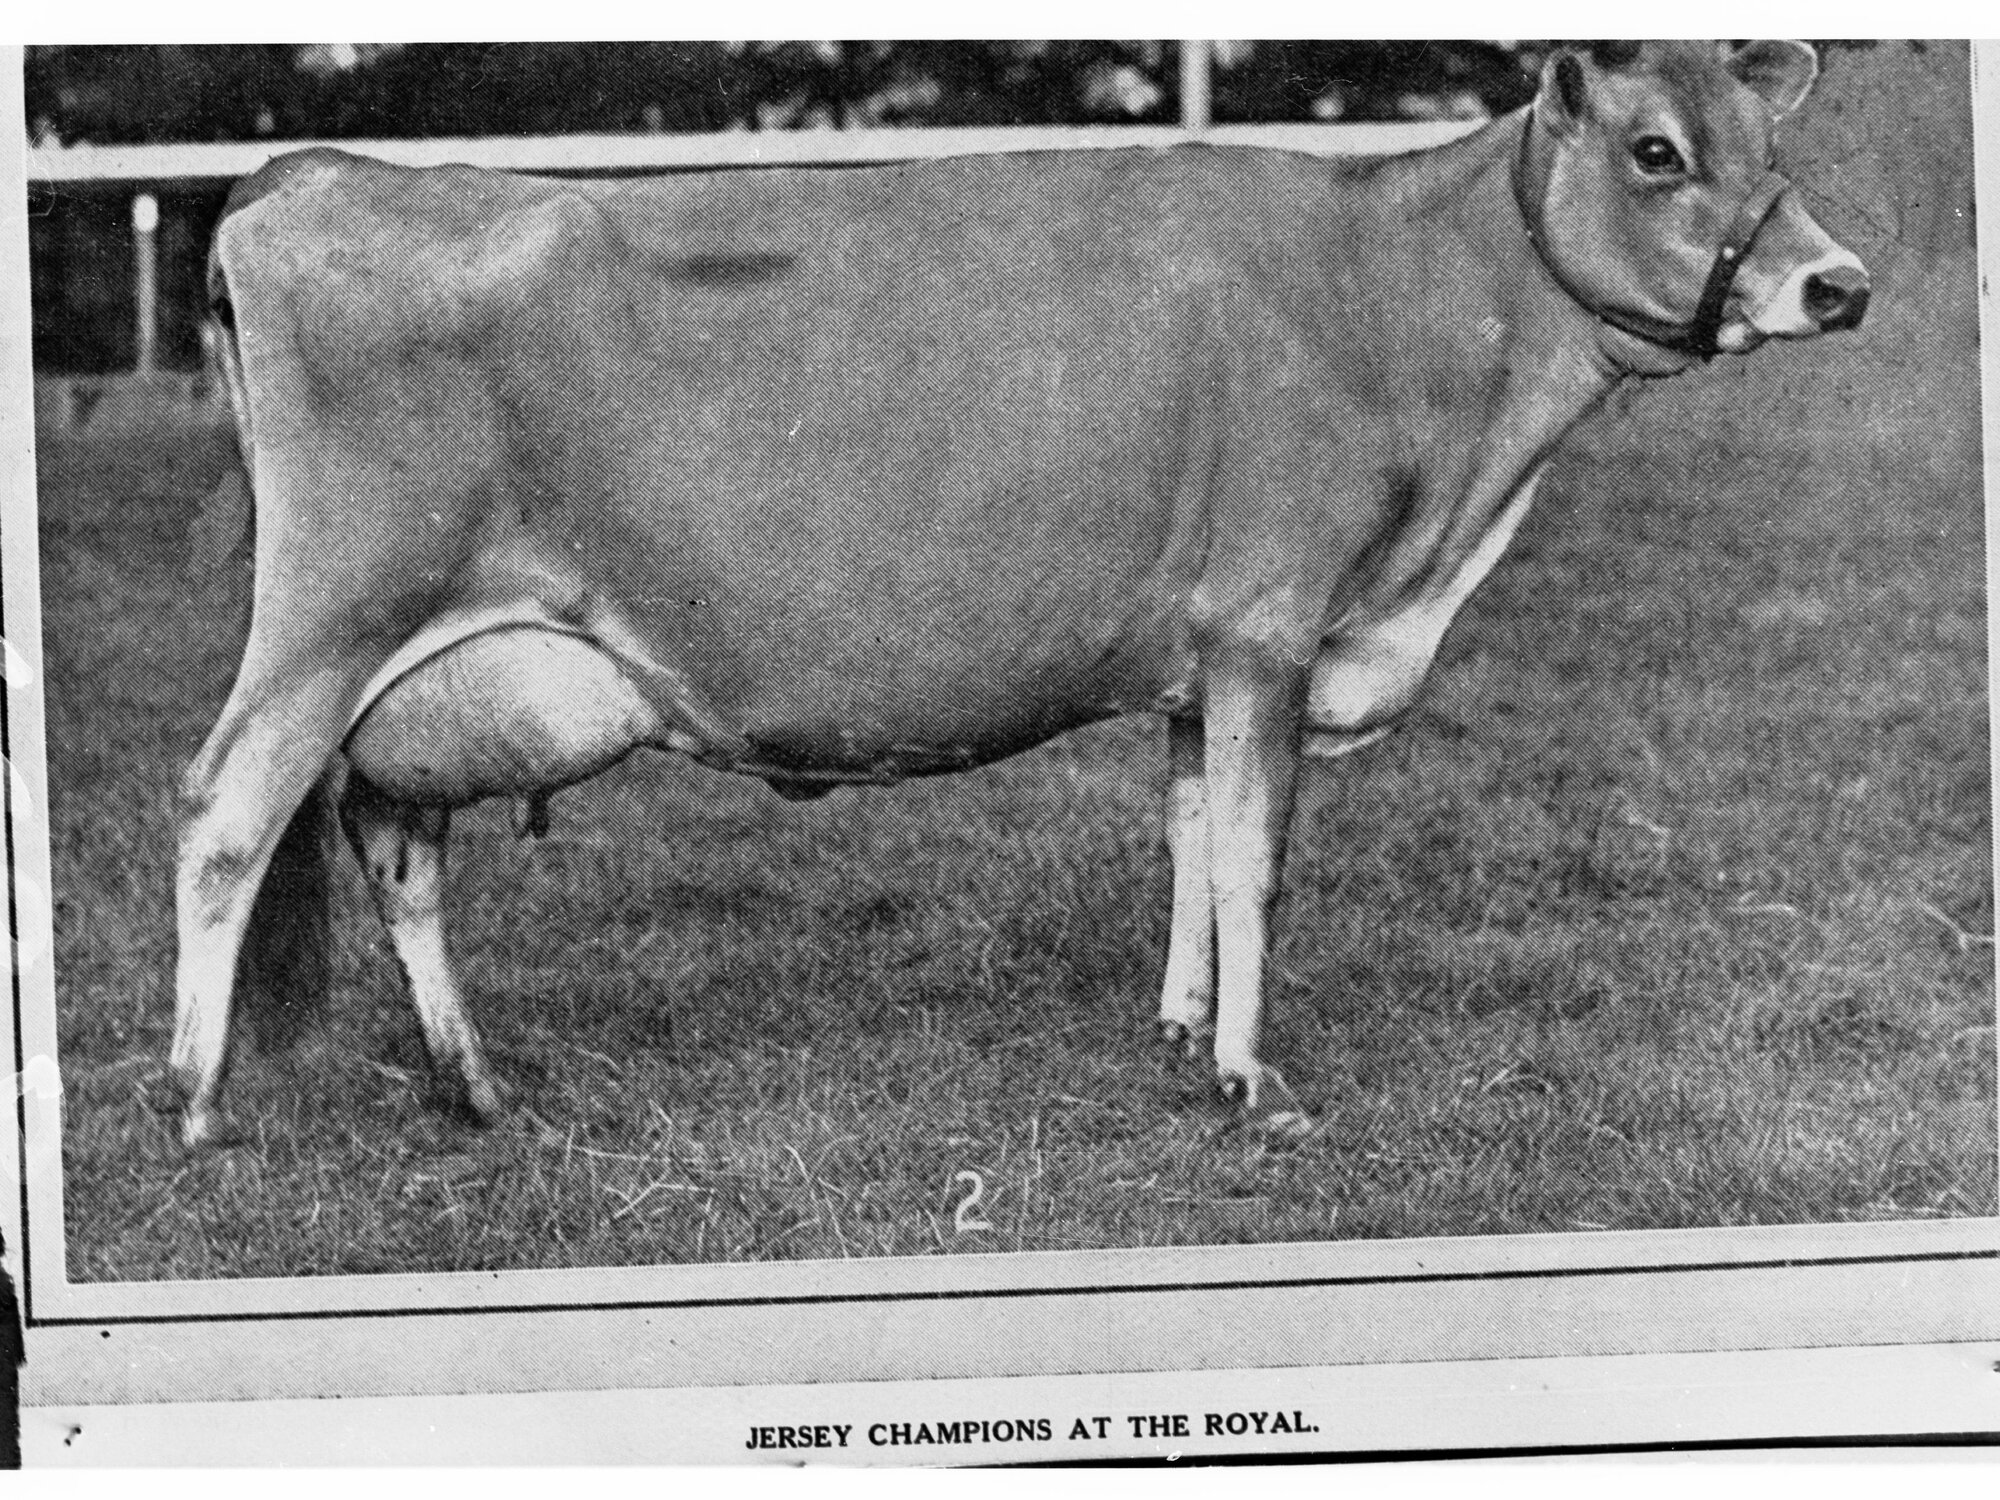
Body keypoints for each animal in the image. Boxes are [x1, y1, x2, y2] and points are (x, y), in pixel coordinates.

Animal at [174, 41, 1869, 1149]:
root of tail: (311, 177)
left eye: (1774, 153)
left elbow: (1187, 836)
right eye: (1657, 151)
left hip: (416, 678)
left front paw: (1183, 1032)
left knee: (395, 847)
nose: (1841, 284)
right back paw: (196, 1103)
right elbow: (1255, 860)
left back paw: (473, 1084)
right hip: (332, 619)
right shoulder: (1270, 622)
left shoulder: (1200, 651)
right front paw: (1254, 1084)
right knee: (225, 820)